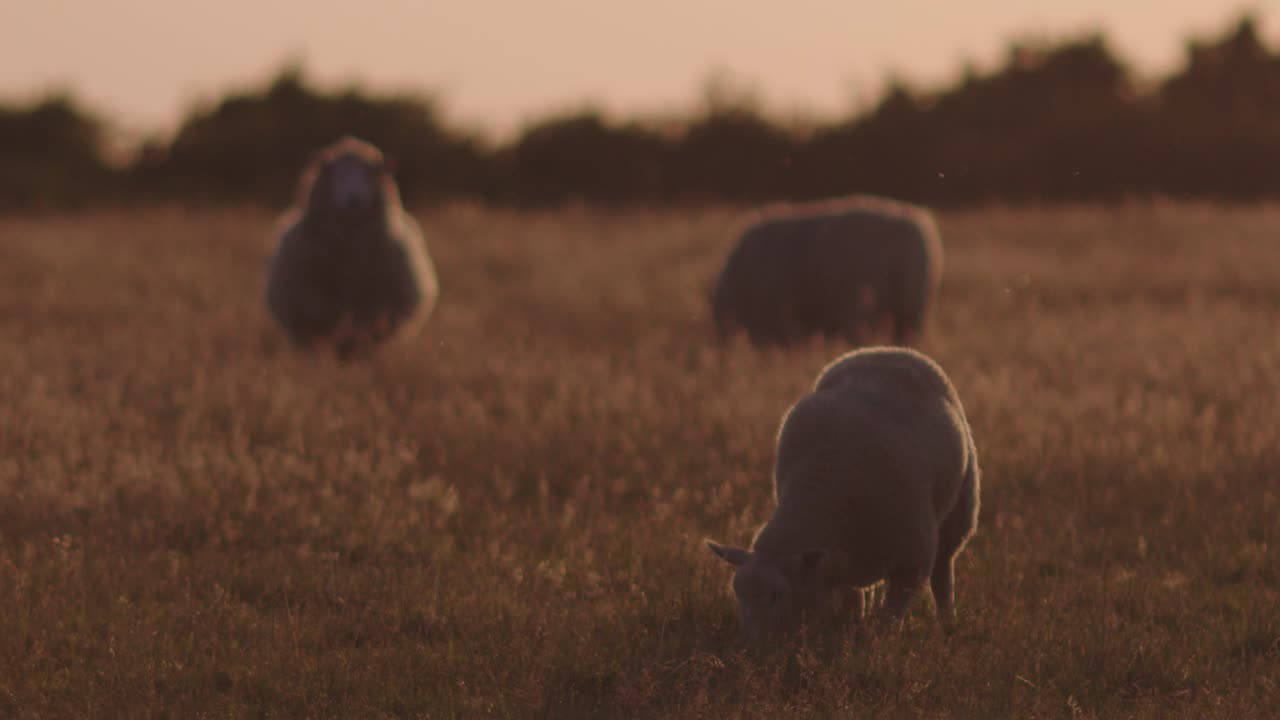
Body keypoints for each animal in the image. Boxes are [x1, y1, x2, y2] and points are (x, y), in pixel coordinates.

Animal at [706, 346, 979, 641]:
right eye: (737, 591)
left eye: (778, 594)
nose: (750, 644)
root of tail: (882, 350)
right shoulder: (843, 560)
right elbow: (852, 600)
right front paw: (852, 630)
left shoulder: (912, 561)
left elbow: (893, 613)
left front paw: (881, 641)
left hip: (959, 514)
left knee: (943, 574)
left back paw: (948, 623)